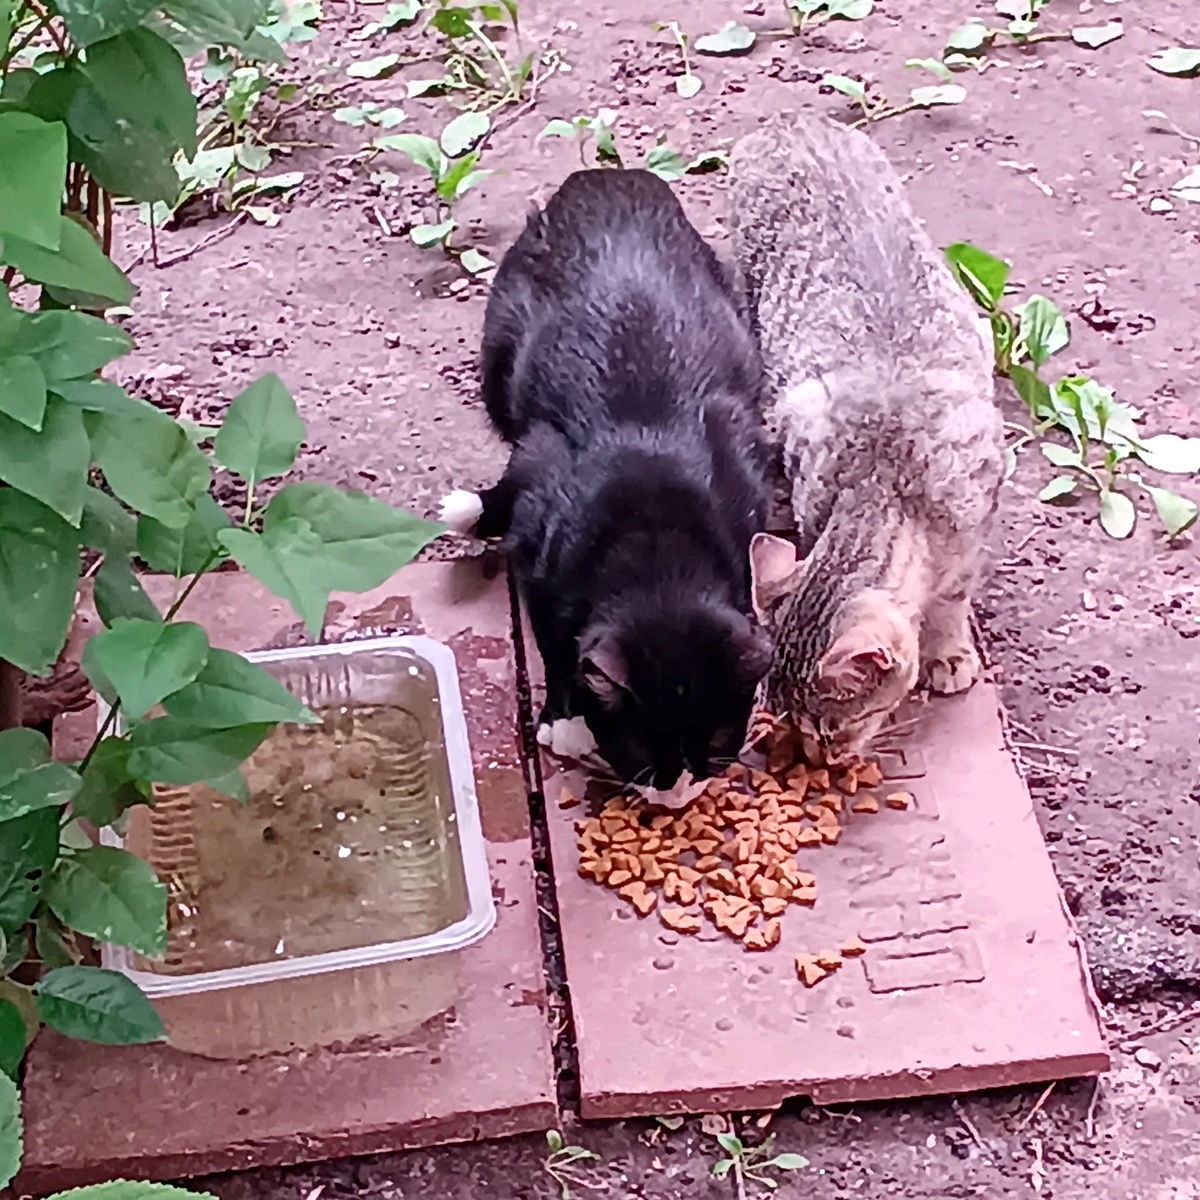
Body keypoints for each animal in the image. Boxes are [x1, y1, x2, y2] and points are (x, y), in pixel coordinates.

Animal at [441, 164, 768, 792]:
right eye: (639, 745)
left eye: (716, 739)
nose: (678, 789)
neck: (656, 543)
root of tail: (604, 175)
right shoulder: (540, 535)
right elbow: (553, 638)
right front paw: (564, 718)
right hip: (499, 345)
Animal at [724, 108, 1008, 753]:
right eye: (786, 719)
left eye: (834, 728)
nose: (820, 760)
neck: (884, 479)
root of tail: (790, 118)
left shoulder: (976, 520)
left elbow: (953, 600)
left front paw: (948, 650)